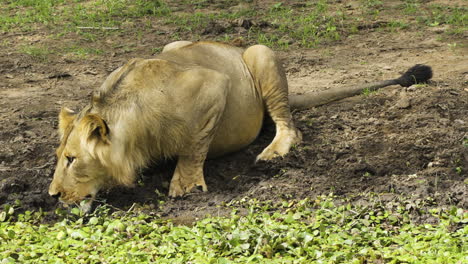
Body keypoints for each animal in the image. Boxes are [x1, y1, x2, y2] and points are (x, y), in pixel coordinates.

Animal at [47, 40, 432, 212]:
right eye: (59, 157)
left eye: (71, 159)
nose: (52, 195)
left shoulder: (213, 86)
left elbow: (194, 145)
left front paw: (185, 186)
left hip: (261, 54)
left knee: (289, 125)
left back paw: (273, 152)